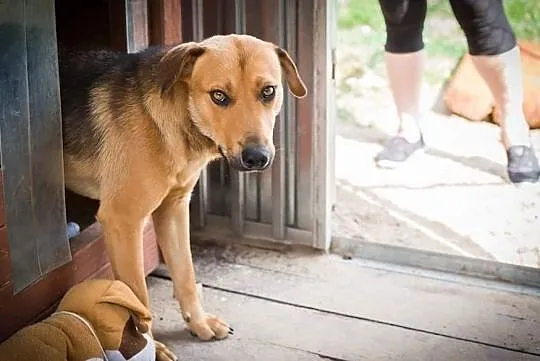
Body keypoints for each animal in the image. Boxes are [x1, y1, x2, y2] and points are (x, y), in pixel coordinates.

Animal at [59, 33, 306, 358]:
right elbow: (137, 298)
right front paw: (148, 348)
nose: (257, 158)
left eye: (268, 91)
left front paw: (198, 323)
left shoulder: (174, 209)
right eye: (218, 96)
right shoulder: (123, 222)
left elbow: (186, 273)